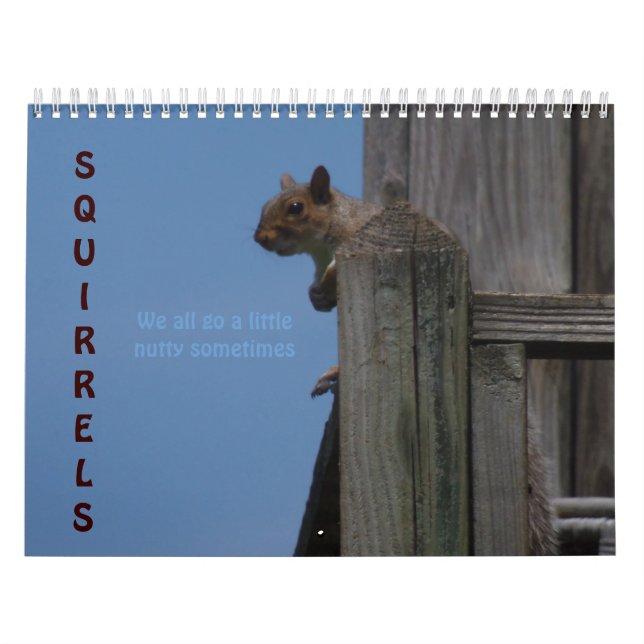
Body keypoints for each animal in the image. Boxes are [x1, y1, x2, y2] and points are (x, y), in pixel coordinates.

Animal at [255, 165, 558, 555]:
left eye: (296, 208)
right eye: (266, 205)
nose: (260, 237)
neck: (322, 244)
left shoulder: (354, 237)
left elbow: (337, 268)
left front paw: (326, 283)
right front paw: (316, 296)